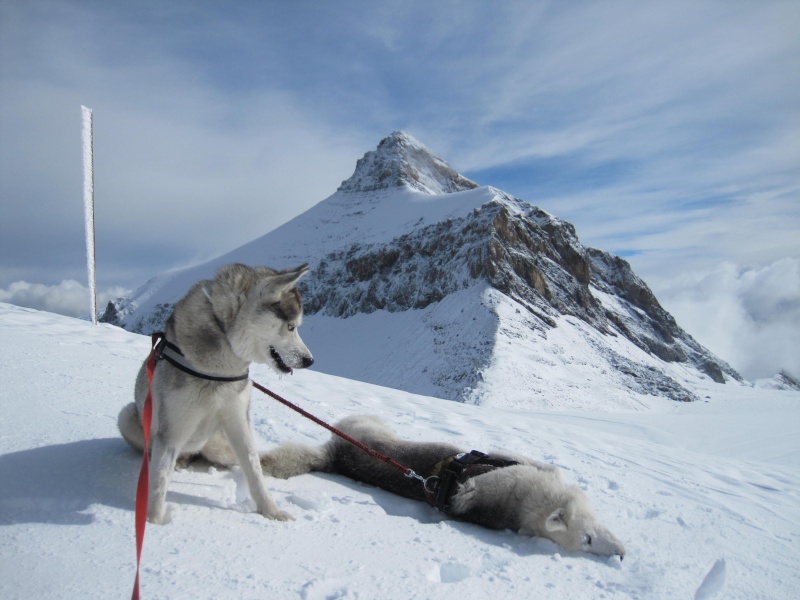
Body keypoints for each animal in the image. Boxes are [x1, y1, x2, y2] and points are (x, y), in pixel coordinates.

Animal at [117, 262, 314, 520]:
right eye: (291, 327)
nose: (310, 360)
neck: (218, 369)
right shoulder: (172, 428)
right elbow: (159, 479)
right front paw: (154, 520)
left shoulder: (238, 420)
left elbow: (254, 469)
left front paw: (271, 511)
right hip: (128, 418)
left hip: (218, 444)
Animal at [262, 412, 624, 556]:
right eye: (588, 539)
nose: (620, 556)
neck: (520, 503)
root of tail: (336, 455)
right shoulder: (508, 460)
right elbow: (545, 464)